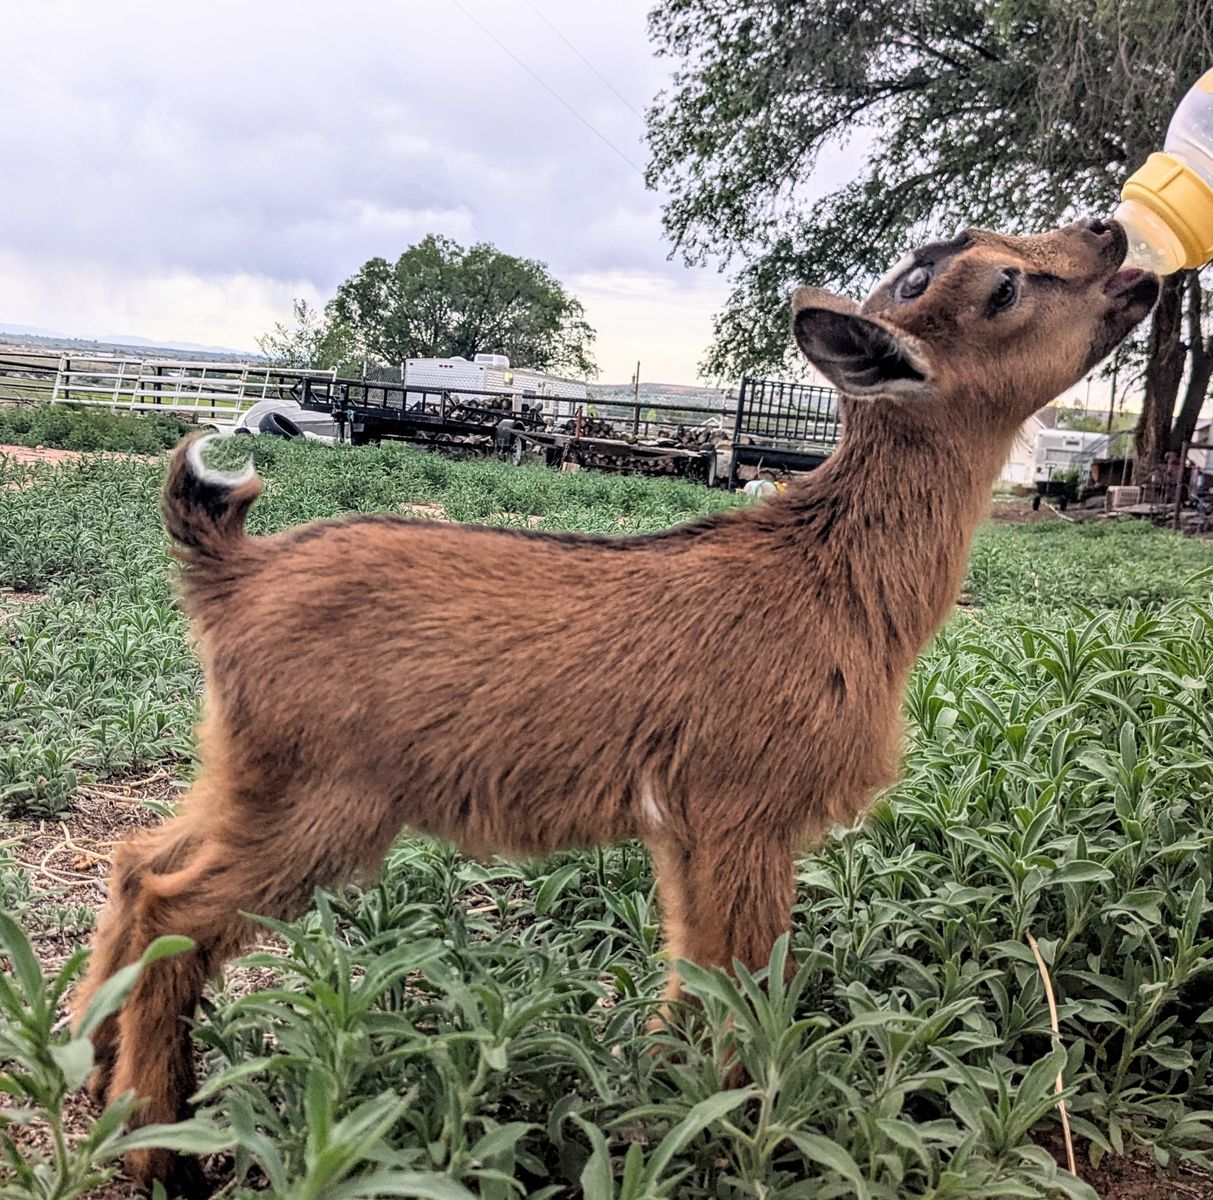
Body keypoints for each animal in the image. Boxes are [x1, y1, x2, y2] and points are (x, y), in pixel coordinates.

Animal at [73, 218, 1158, 1191]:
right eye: (1003, 286)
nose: (1115, 238)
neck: (833, 582)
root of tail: (233, 572)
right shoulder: (745, 810)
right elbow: (745, 987)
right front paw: (727, 1140)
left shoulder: (684, 825)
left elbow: (693, 977)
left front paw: (661, 1116)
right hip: (321, 801)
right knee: (174, 910)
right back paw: (164, 1156)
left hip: (246, 770)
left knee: (138, 864)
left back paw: (93, 1079)